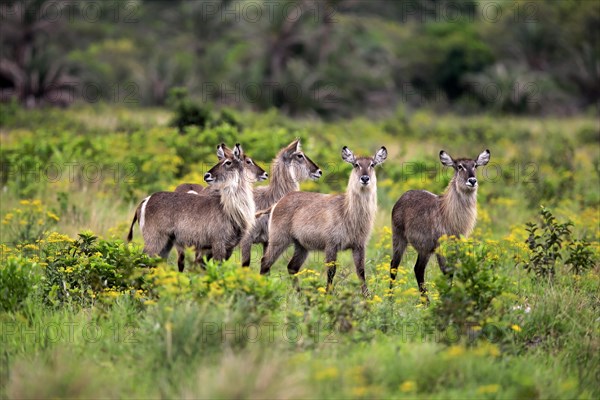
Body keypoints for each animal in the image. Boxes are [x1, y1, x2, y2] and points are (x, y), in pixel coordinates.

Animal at [126, 142, 264, 270]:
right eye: (248, 161)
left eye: (228, 162)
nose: (206, 175)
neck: (231, 210)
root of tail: (146, 200)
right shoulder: (218, 243)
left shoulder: (229, 247)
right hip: (154, 239)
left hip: (167, 242)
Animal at [260, 146, 386, 294]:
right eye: (356, 164)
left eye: (372, 164)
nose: (365, 178)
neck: (348, 212)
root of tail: (278, 202)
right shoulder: (331, 245)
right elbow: (331, 271)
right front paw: (328, 295)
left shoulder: (359, 245)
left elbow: (361, 271)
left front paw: (367, 296)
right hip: (279, 239)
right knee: (265, 262)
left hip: (301, 245)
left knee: (292, 267)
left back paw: (299, 294)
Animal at [390, 148, 492, 296]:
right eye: (459, 166)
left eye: (475, 165)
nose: (472, 180)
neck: (449, 215)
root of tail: (403, 196)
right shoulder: (441, 246)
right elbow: (446, 272)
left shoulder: (456, 246)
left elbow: (451, 272)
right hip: (399, 238)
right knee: (394, 265)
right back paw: (390, 297)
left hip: (425, 249)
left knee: (418, 269)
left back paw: (425, 299)